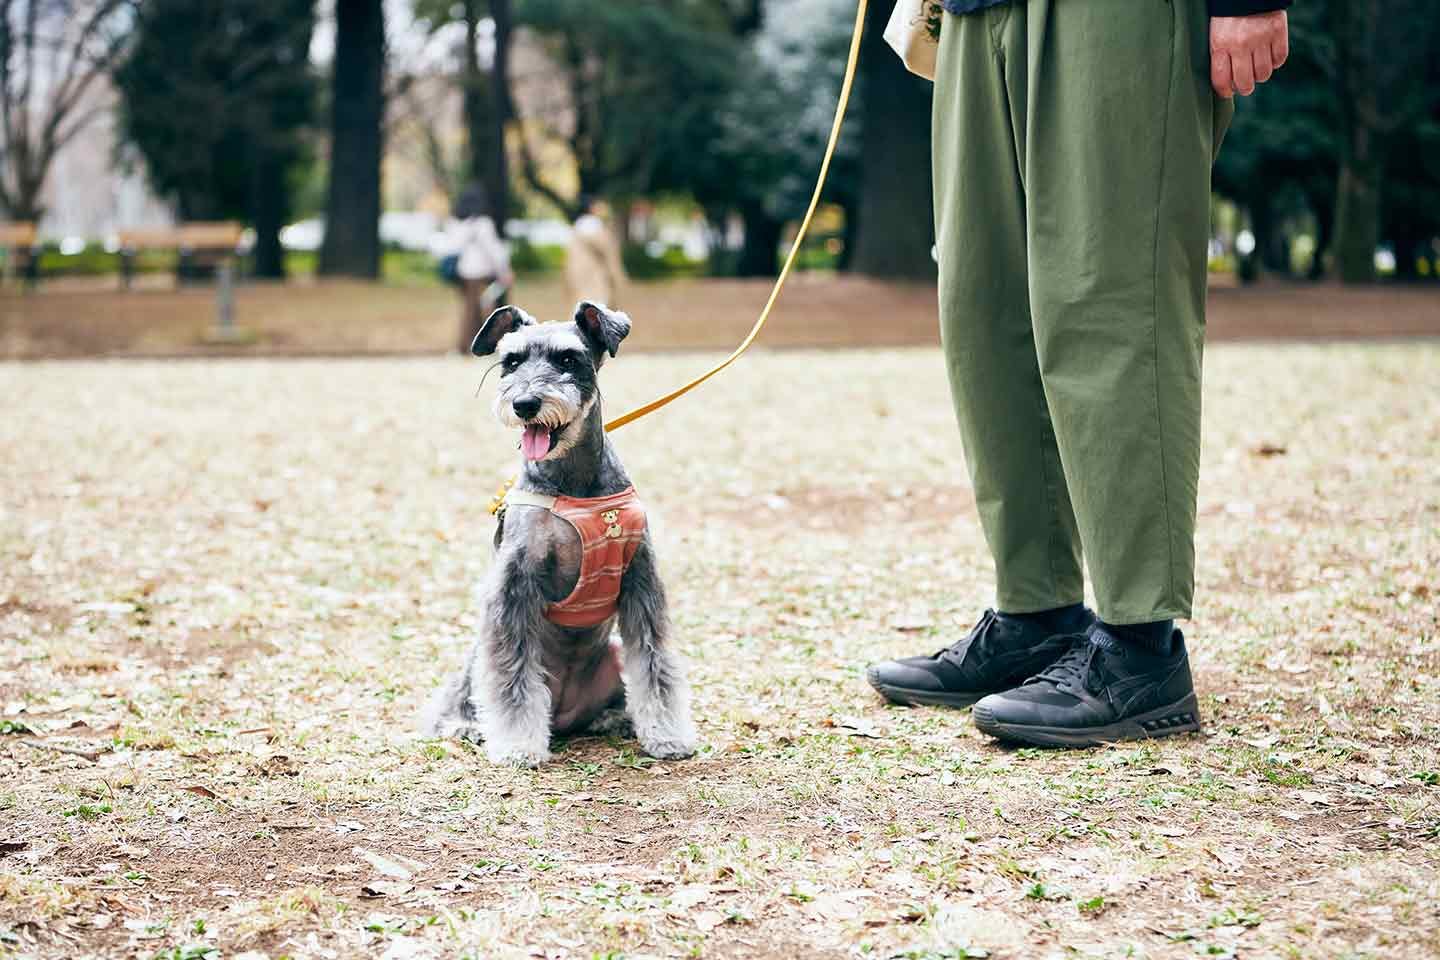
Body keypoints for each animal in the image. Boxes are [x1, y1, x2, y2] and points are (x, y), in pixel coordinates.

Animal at [420, 300, 696, 765]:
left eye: (568, 359)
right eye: (511, 362)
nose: (525, 403)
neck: (575, 483)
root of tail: (565, 717)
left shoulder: (640, 580)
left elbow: (655, 665)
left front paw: (668, 735)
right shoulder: (513, 585)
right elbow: (510, 678)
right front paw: (517, 745)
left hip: (612, 654)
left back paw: (613, 718)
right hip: (477, 653)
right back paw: (465, 725)